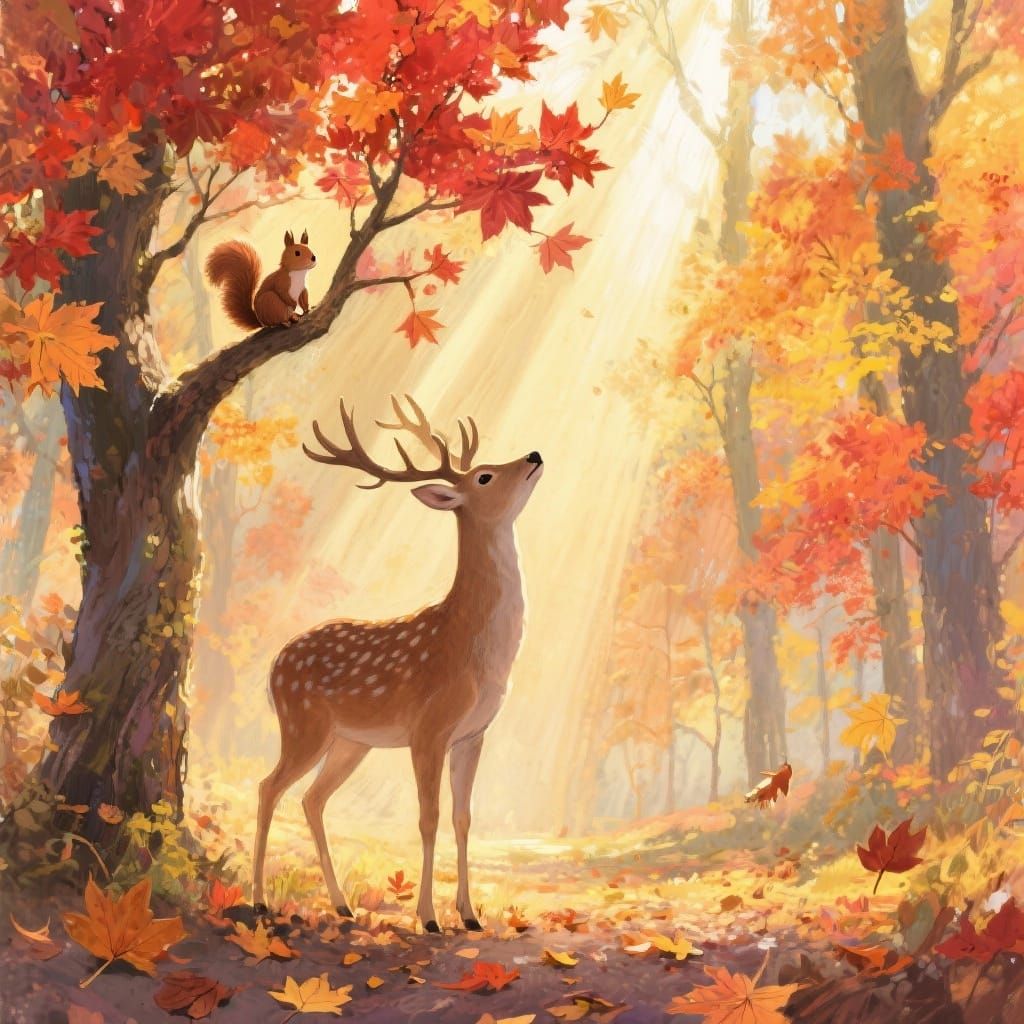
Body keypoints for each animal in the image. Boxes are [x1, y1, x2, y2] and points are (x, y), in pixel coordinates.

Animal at [252, 395, 544, 933]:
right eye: (485, 476)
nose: (533, 454)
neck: (474, 653)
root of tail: (276, 662)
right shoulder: (429, 727)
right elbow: (428, 818)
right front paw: (428, 918)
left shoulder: (473, 734)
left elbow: (463, 818)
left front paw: (469, 916)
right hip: (303, 724)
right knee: (269, 787)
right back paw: (260, 900)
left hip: (351, 741)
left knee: (312, 798)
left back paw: (342, 905)